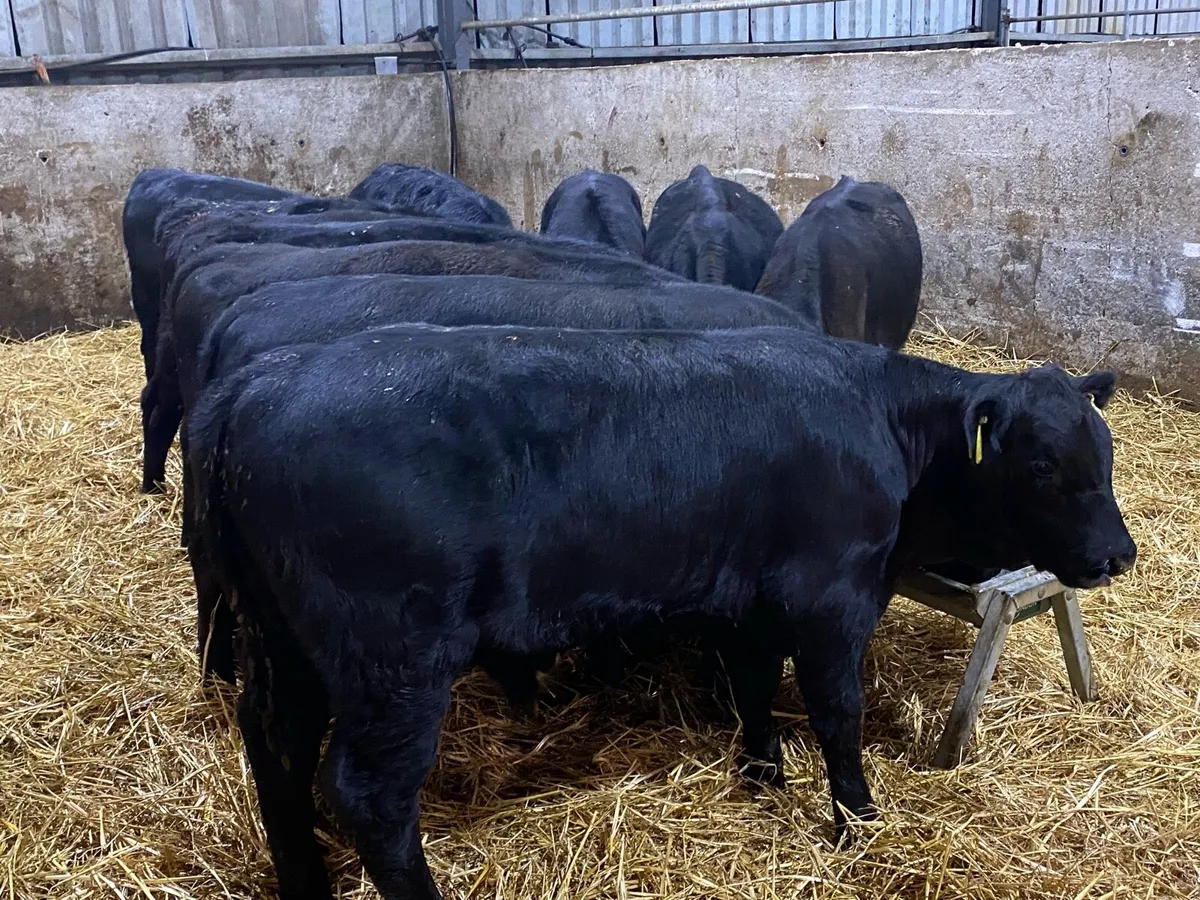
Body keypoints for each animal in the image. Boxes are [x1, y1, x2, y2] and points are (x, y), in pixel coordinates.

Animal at [187, 321, 1135, 900]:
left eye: (1107, 451)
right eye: (1043, 466)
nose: (1119, 555)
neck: (882, 427)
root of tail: (256, 384)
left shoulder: (753, 598)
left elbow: (754, 685)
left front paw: (762, 773)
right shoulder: (832, 597)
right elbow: (838, 710)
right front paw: (857, 818)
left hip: (285, 644)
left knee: (273, 745)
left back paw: (305, 881)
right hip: (393, 658)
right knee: (369, 792)